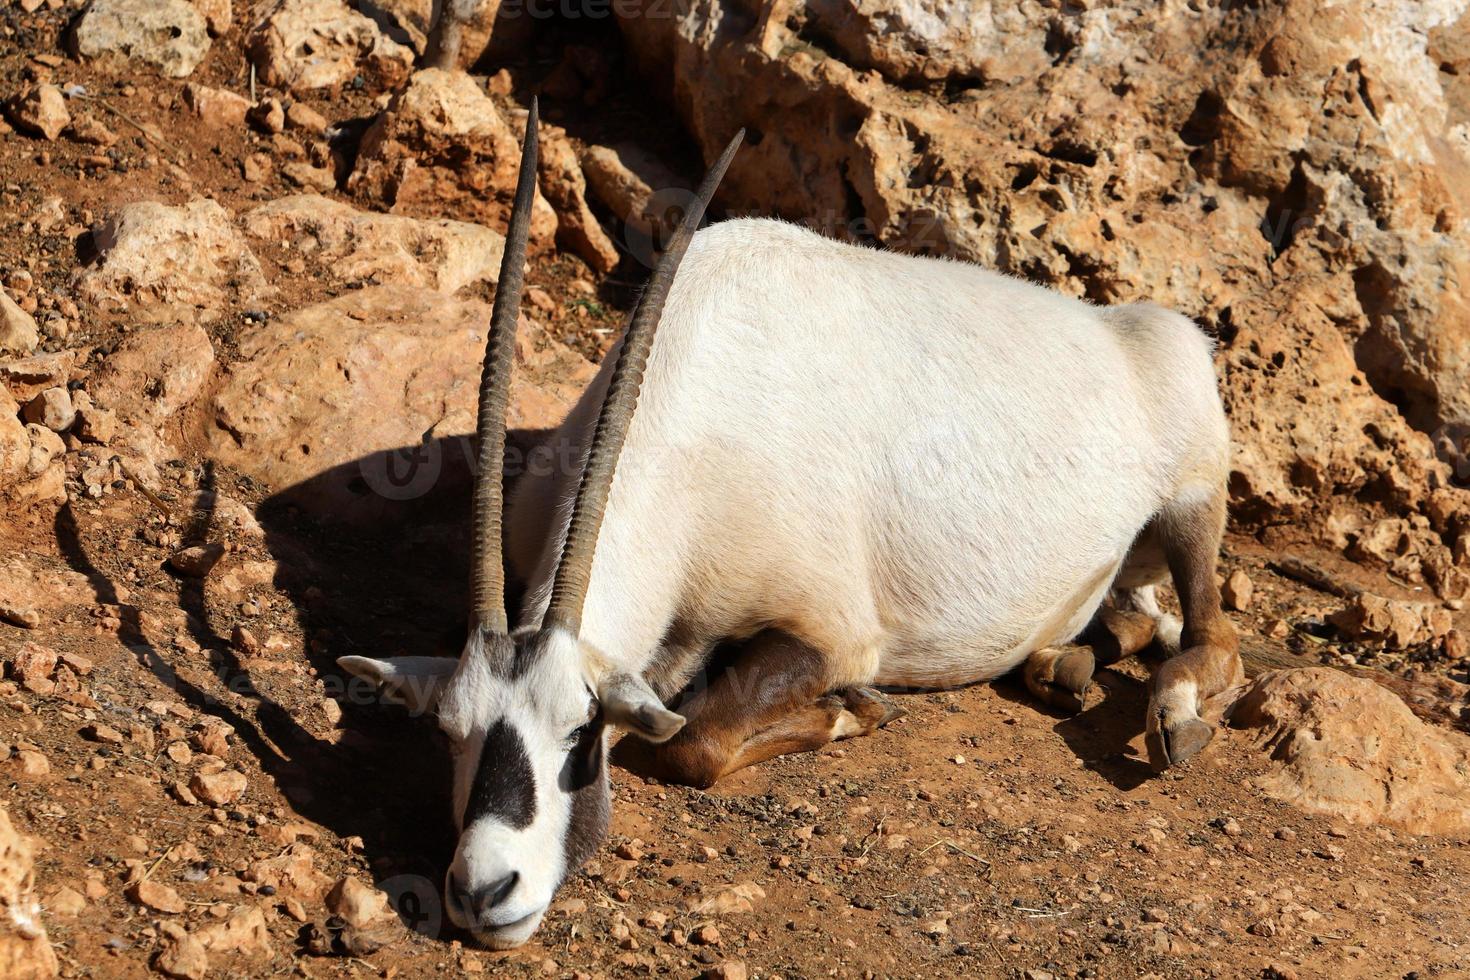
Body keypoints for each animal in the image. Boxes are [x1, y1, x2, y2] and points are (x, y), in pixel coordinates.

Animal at [341, 105, 1240, 952]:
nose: (486, 890)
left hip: (1195, 499)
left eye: (580, 732)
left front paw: (855, 710)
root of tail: (1146, 329)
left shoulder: (831, 632)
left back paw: (1172, 710)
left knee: (1215, 636)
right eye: (450, 732)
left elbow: (694, 742)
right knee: (1128, 618)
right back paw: (1069, 661)